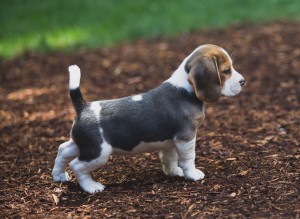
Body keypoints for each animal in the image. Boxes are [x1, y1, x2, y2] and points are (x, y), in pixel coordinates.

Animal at [51, 43, 244, 192]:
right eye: (226, 71)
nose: (243, 81)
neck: (185, 89)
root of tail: (83, 107)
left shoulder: (170, 141)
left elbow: (170, 158)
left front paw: (173, 172)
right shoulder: (186, 138)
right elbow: (189, 159)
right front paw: (192, 175)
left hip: (83, 144)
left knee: (63, 150)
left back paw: (59, 175)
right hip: (98, 152)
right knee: (76, 165)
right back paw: (91, 187)